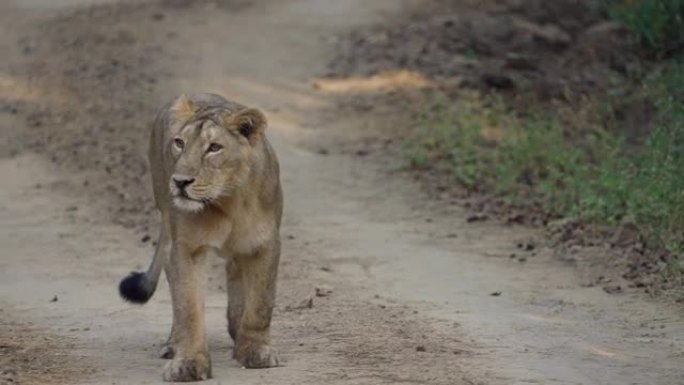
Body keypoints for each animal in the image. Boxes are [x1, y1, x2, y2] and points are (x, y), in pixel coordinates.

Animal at [119, 91, 282, 380]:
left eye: (214, 147)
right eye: (179, 143)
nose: (180, 182)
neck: (229, 201)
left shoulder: (265, 244)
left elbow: (260, 304)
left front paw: (255, 351)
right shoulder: (188, 248)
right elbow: (189, 308)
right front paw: (189, 364)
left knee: (236, 276)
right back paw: (173, 344)